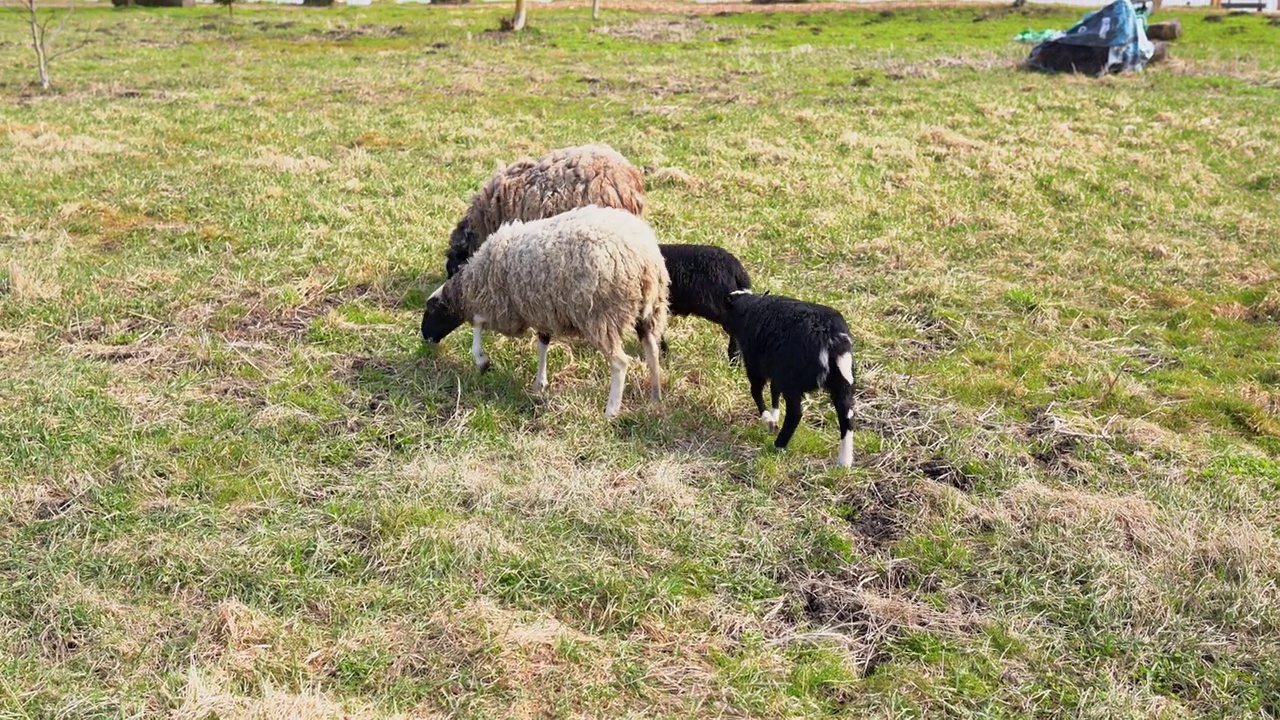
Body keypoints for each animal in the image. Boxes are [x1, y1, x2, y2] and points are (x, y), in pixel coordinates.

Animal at [424, 203, 675, 415]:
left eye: (432, 311)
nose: (425, 337)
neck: (475, 280)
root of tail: (645, 260)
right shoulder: (541, 310)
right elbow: (542, 343)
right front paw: (540, 382)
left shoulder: (505, 307)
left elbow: (477, 322)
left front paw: (482, 360)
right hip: (649, 313)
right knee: (652, 352)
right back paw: (656, 396)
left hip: (601, 317)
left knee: (620, 363)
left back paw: (611, 411)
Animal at [727, 289, 855, 466]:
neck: (751, 308)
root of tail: (831, 339)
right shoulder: (775, 370)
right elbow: (774, 389)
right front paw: (774, 417)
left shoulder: (755, 364)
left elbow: (756, 391)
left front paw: (768, 419)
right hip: (842, 382)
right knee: (847, 417)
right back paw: (845, 461)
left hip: (792, 382)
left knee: (795, 413)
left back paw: (778, 446)